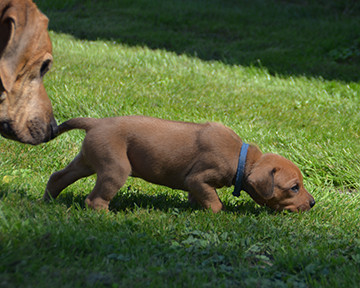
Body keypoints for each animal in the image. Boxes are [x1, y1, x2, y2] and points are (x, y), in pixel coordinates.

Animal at [44, 116, 316, 213]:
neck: (242, 159)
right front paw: (215, 214)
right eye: (294, 188)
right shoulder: (198, 179)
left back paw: (48, 200)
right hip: (115, 168)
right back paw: (106, 217)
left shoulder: (197, 186)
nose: (313, 203)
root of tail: (95, 122)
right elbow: (215, 202)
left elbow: (200, 198)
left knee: (58, 176)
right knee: (94, 199)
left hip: (87, 161)